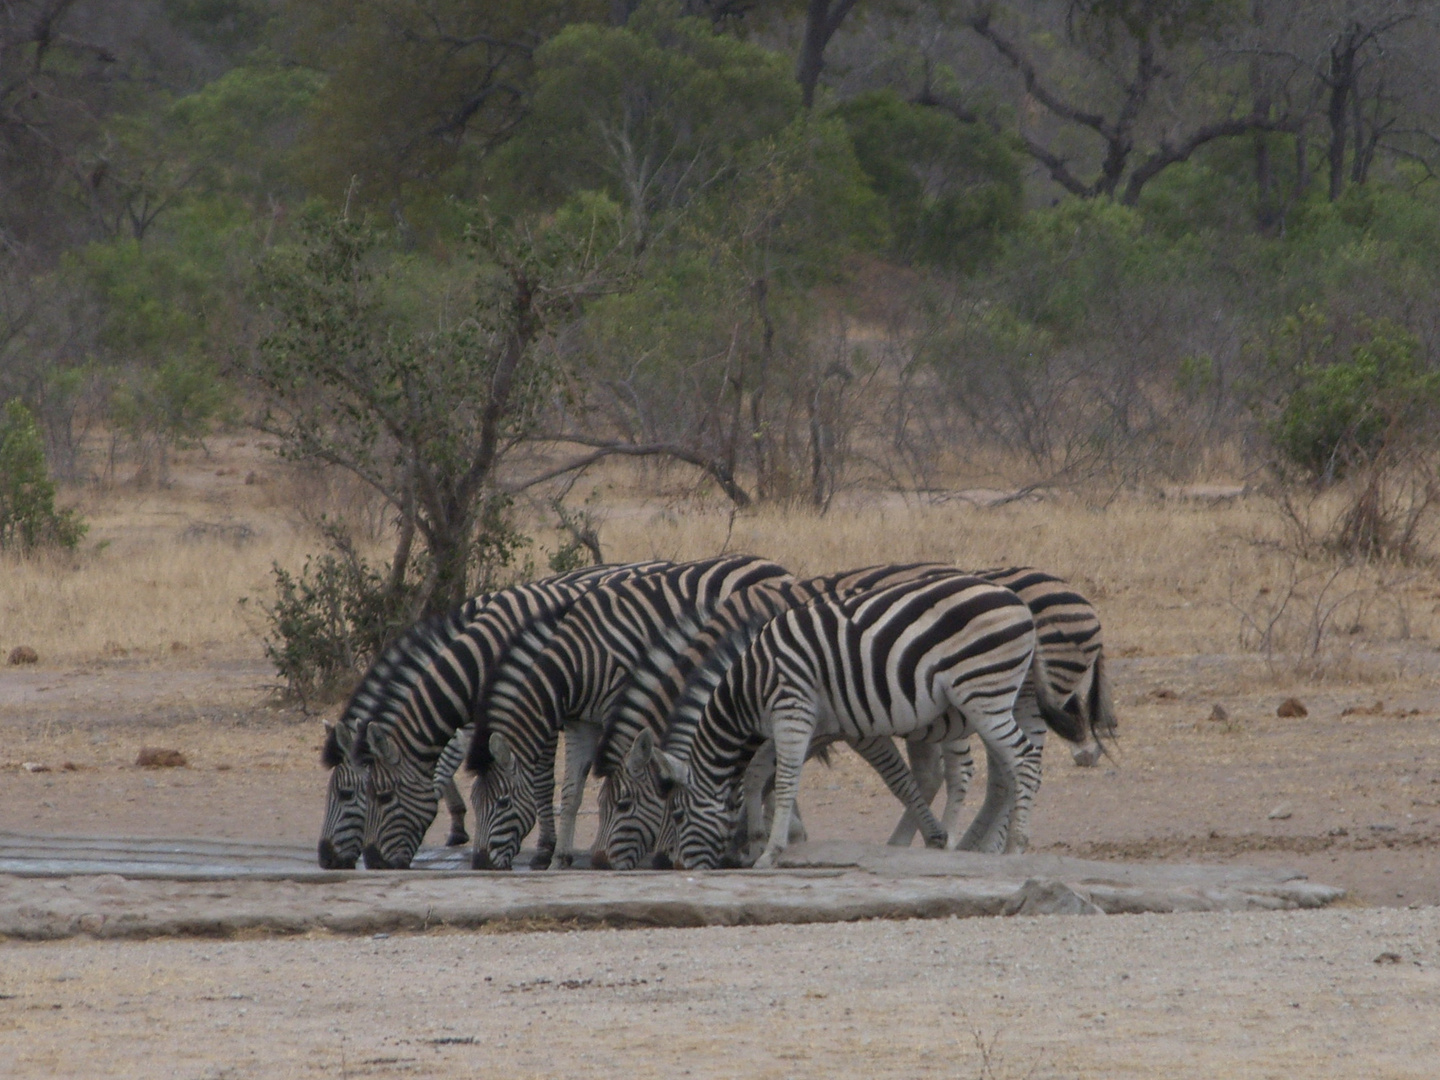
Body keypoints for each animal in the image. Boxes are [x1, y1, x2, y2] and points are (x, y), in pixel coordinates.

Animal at [348, 561, 668, 875]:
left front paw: (543, 850)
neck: (481, 656)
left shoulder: (536, 707)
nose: (372, 861)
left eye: (381, 797)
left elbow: (538, 779)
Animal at [469, 552, 789, 875]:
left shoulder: (619, 702)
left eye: (502, 802)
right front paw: (560, 859)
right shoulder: (580, 722)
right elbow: (571, 791)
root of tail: (769, 564)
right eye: (474, 802)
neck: (581, 661)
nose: (480, 863)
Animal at [590, 561, 961, 875]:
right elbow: (760, 774)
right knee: (935, 771)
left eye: (622, 804)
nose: (598, 862)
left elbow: (892, 775)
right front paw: (762, 838)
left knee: (946, 771)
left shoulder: (840, 722)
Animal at [636, 576, 1065, 869]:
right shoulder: (808, 724)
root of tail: (1022, 606)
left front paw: (771, 851)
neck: (749, 688)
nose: (672, 866)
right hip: (1002, 700)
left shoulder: (794, 710)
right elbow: (757, 773)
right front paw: (758, 841)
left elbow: (787, 780)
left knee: (1024, 760)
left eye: (677, 815)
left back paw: (1016, 847)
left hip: (982, 693)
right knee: (1009, 769)